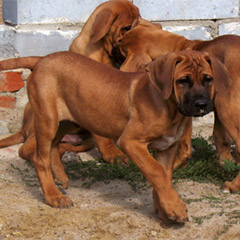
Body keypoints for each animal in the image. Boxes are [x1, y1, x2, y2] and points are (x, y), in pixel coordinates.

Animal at [1, 49, 231, 224]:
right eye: (183, 81)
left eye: (208, 79)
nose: (202, 105)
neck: (170, 107)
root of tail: (41, 59)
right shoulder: (130, 142)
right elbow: (156, 172)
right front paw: (175, 207)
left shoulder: (167, 148)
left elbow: (163, 177)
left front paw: (165, 209)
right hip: (47, 119)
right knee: (39, 157)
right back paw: (53, 196)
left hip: (70, 120)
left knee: (54, 146)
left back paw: (60, 178)